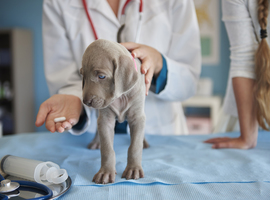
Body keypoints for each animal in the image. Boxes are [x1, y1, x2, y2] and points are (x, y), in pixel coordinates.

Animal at [80, 39, 148, 184]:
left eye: (101, 76)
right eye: (83, 75)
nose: (86, 102)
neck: (121, 96)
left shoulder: (137, 117)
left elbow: (135, 146)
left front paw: (133, 169)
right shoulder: (105, 119)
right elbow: (107, 149)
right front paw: (105, 172)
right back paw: (96, 142)